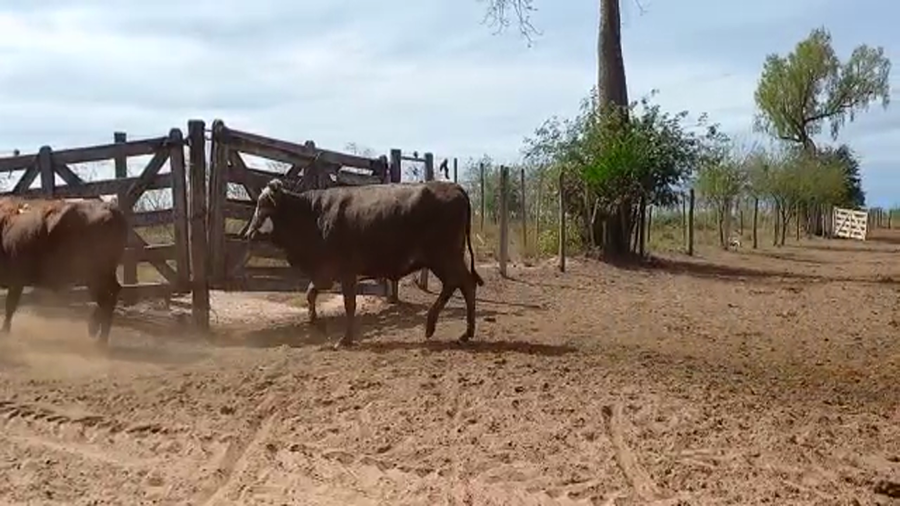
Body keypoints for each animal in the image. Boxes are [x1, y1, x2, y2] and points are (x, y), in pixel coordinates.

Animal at [0, 197, 128, 344]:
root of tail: (111, 209)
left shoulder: (16, 281)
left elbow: (10, 306)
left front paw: (4, 332)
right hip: (102, 276)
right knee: (111, 296)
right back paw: (96, 331)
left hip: (95, 276)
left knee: (106, 300)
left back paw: (99, 338)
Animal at [243, 178, 484, 348]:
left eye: (263, 206)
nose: (248, 234)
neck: (314, 214)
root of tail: (455, 187)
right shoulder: (325, 273)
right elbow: (311, 293)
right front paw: (315, 321)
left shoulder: (344, 272)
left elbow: (349, 304)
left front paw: (346, 339)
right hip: (445, 258)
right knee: (457, 284)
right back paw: (439, 327)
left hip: (444, 256)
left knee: (464, 283)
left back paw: (461, 332)